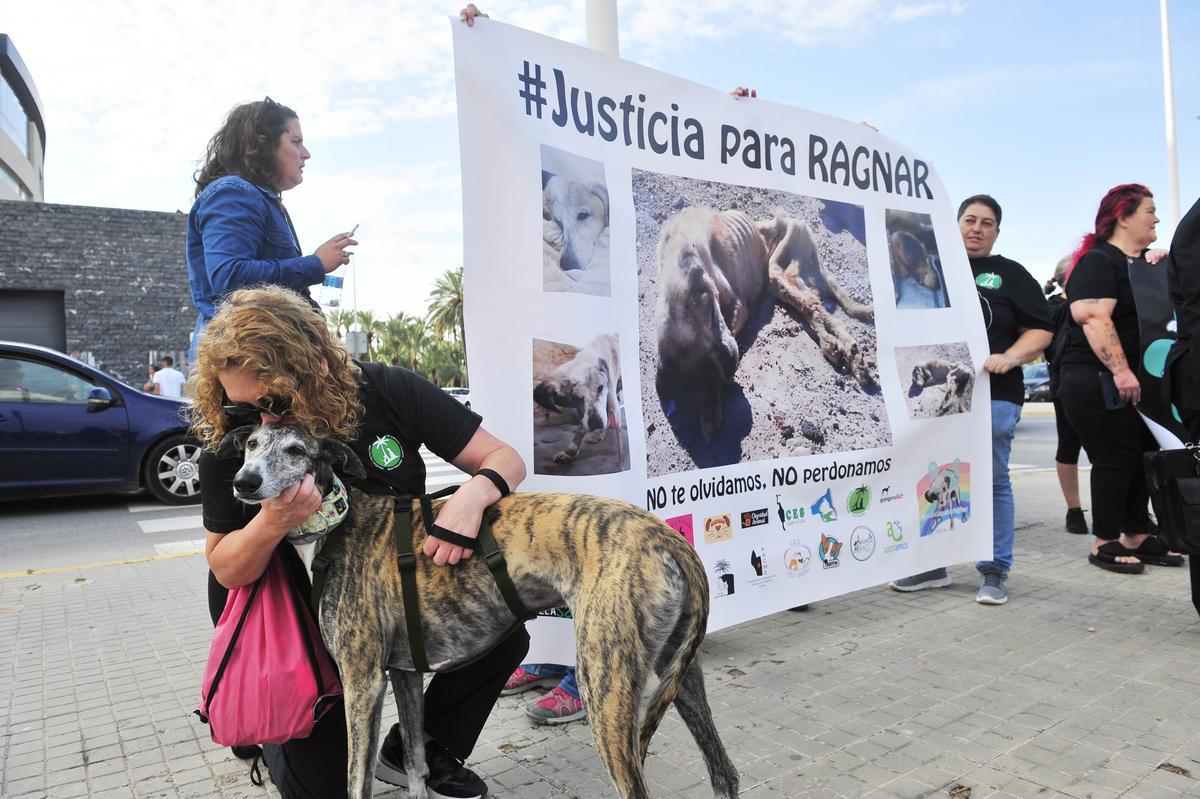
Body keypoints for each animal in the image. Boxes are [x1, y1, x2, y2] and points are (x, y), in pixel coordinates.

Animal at [219, 419, 734, 791]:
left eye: (295, 451)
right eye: (252, 444)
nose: (244, 482)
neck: (338, 524)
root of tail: (669, 538)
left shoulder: (363, 684)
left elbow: (356, 783)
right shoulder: (404, 674)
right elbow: (416, 767)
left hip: (605, 685)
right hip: (680, 674)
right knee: (724, 773)